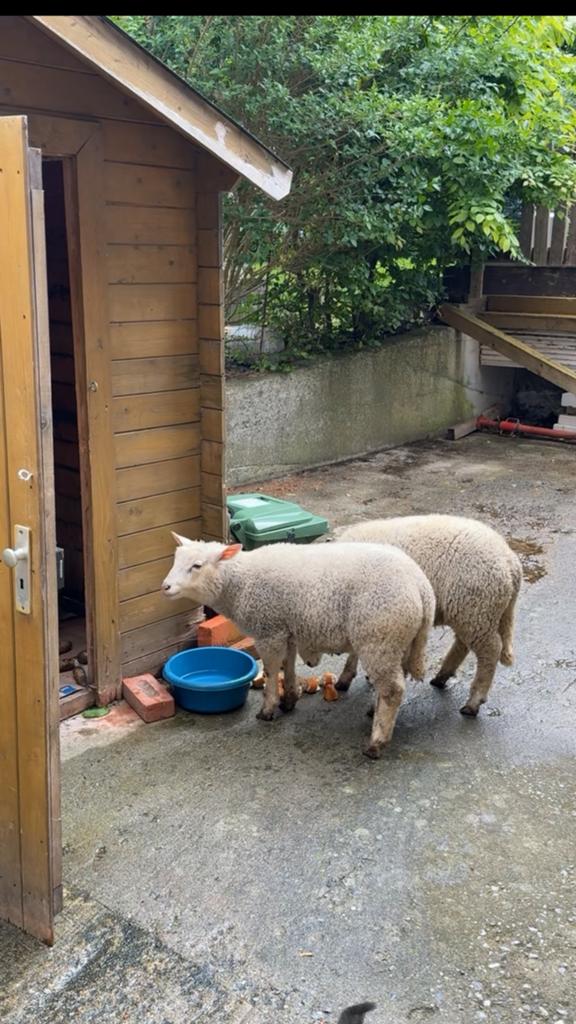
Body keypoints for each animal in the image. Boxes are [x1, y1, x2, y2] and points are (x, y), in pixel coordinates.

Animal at [163, 535, 435, 758]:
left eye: (197, 566)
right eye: (175, 560)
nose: (165, 587)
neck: (239, 583)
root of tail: (422, 588)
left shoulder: (269, 630)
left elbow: (272, 670)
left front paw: (268, 709)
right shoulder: (287, 629)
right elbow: (288, 665)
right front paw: (289, 699)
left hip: (380, 636)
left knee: (393, 691)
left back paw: (377, 742)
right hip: (398, 641)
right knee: (393, 684)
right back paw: (373, 713)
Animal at [335, 514, 522, 717]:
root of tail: (510, 562)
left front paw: (346, 678)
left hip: (477, 608)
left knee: (490, 650)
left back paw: (473, 702)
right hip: (471, 612)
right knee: (463, 644)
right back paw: (441, 677)